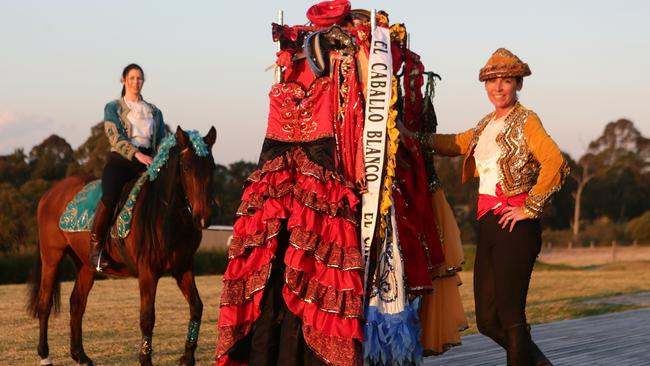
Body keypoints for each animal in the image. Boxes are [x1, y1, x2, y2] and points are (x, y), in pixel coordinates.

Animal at [27, 126, 216, 366]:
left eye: (212, 167)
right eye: (186, 167)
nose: (203, 217)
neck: (165, 215)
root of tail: (50, 194)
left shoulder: (183, 268)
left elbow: (196, 307)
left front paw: (188, 357)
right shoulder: (148, 272)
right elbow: (147, 317)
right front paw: (145, 359)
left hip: (86, 266)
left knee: (77, 304)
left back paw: (80, 356)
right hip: (52, 256)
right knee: (44, 303)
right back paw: (45, 356)